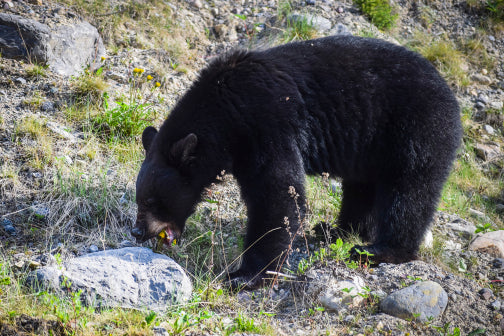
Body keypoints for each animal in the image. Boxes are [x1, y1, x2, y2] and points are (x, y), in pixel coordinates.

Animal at [132, 36, 462, 288]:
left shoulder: (265, 124)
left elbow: (278, 195)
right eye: (139, 198)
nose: (137, 232)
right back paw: (335, 231)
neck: (225, 109)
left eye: (150, 201)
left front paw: (245, 274)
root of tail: (451, 94)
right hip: (371, 147)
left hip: (416, 129)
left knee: (409, 191)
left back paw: (378, 250)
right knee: (361, 189)